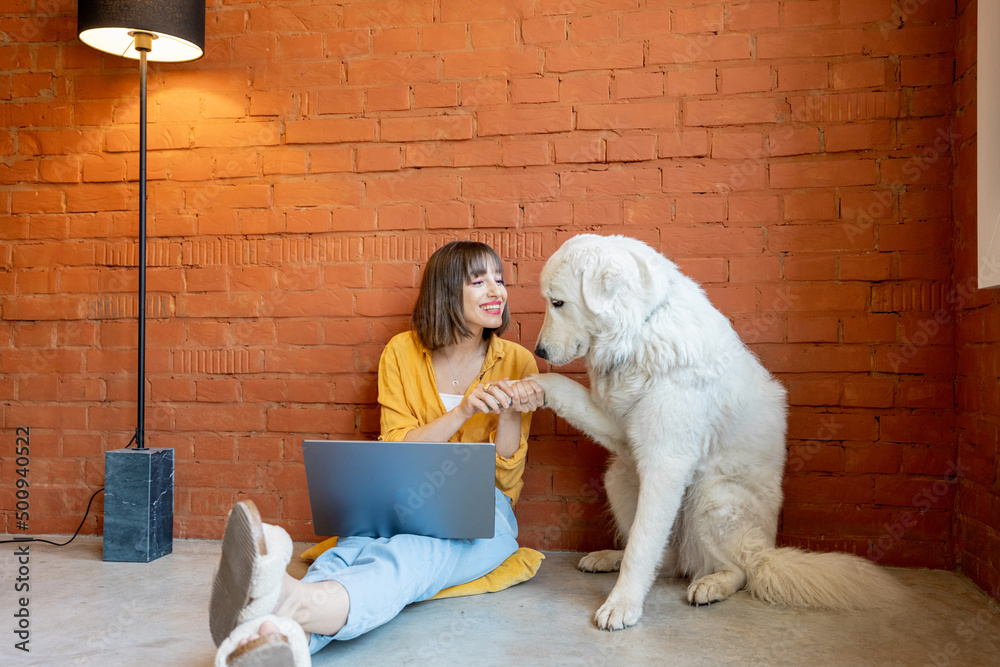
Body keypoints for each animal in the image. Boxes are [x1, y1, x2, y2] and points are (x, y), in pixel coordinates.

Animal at [532, 235, 908, 632]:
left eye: (557, 302)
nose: (539, 350)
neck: (641, 328)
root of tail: (767, 549)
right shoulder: (623, 432)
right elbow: (565, 391)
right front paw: (528, 384)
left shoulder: (666, 462)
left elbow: (642, 547)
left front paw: (622, 606)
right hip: (620, 475)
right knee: (665, 557)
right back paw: (610, 557)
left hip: (711, 496)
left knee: (741, 569)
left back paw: (711, 585)